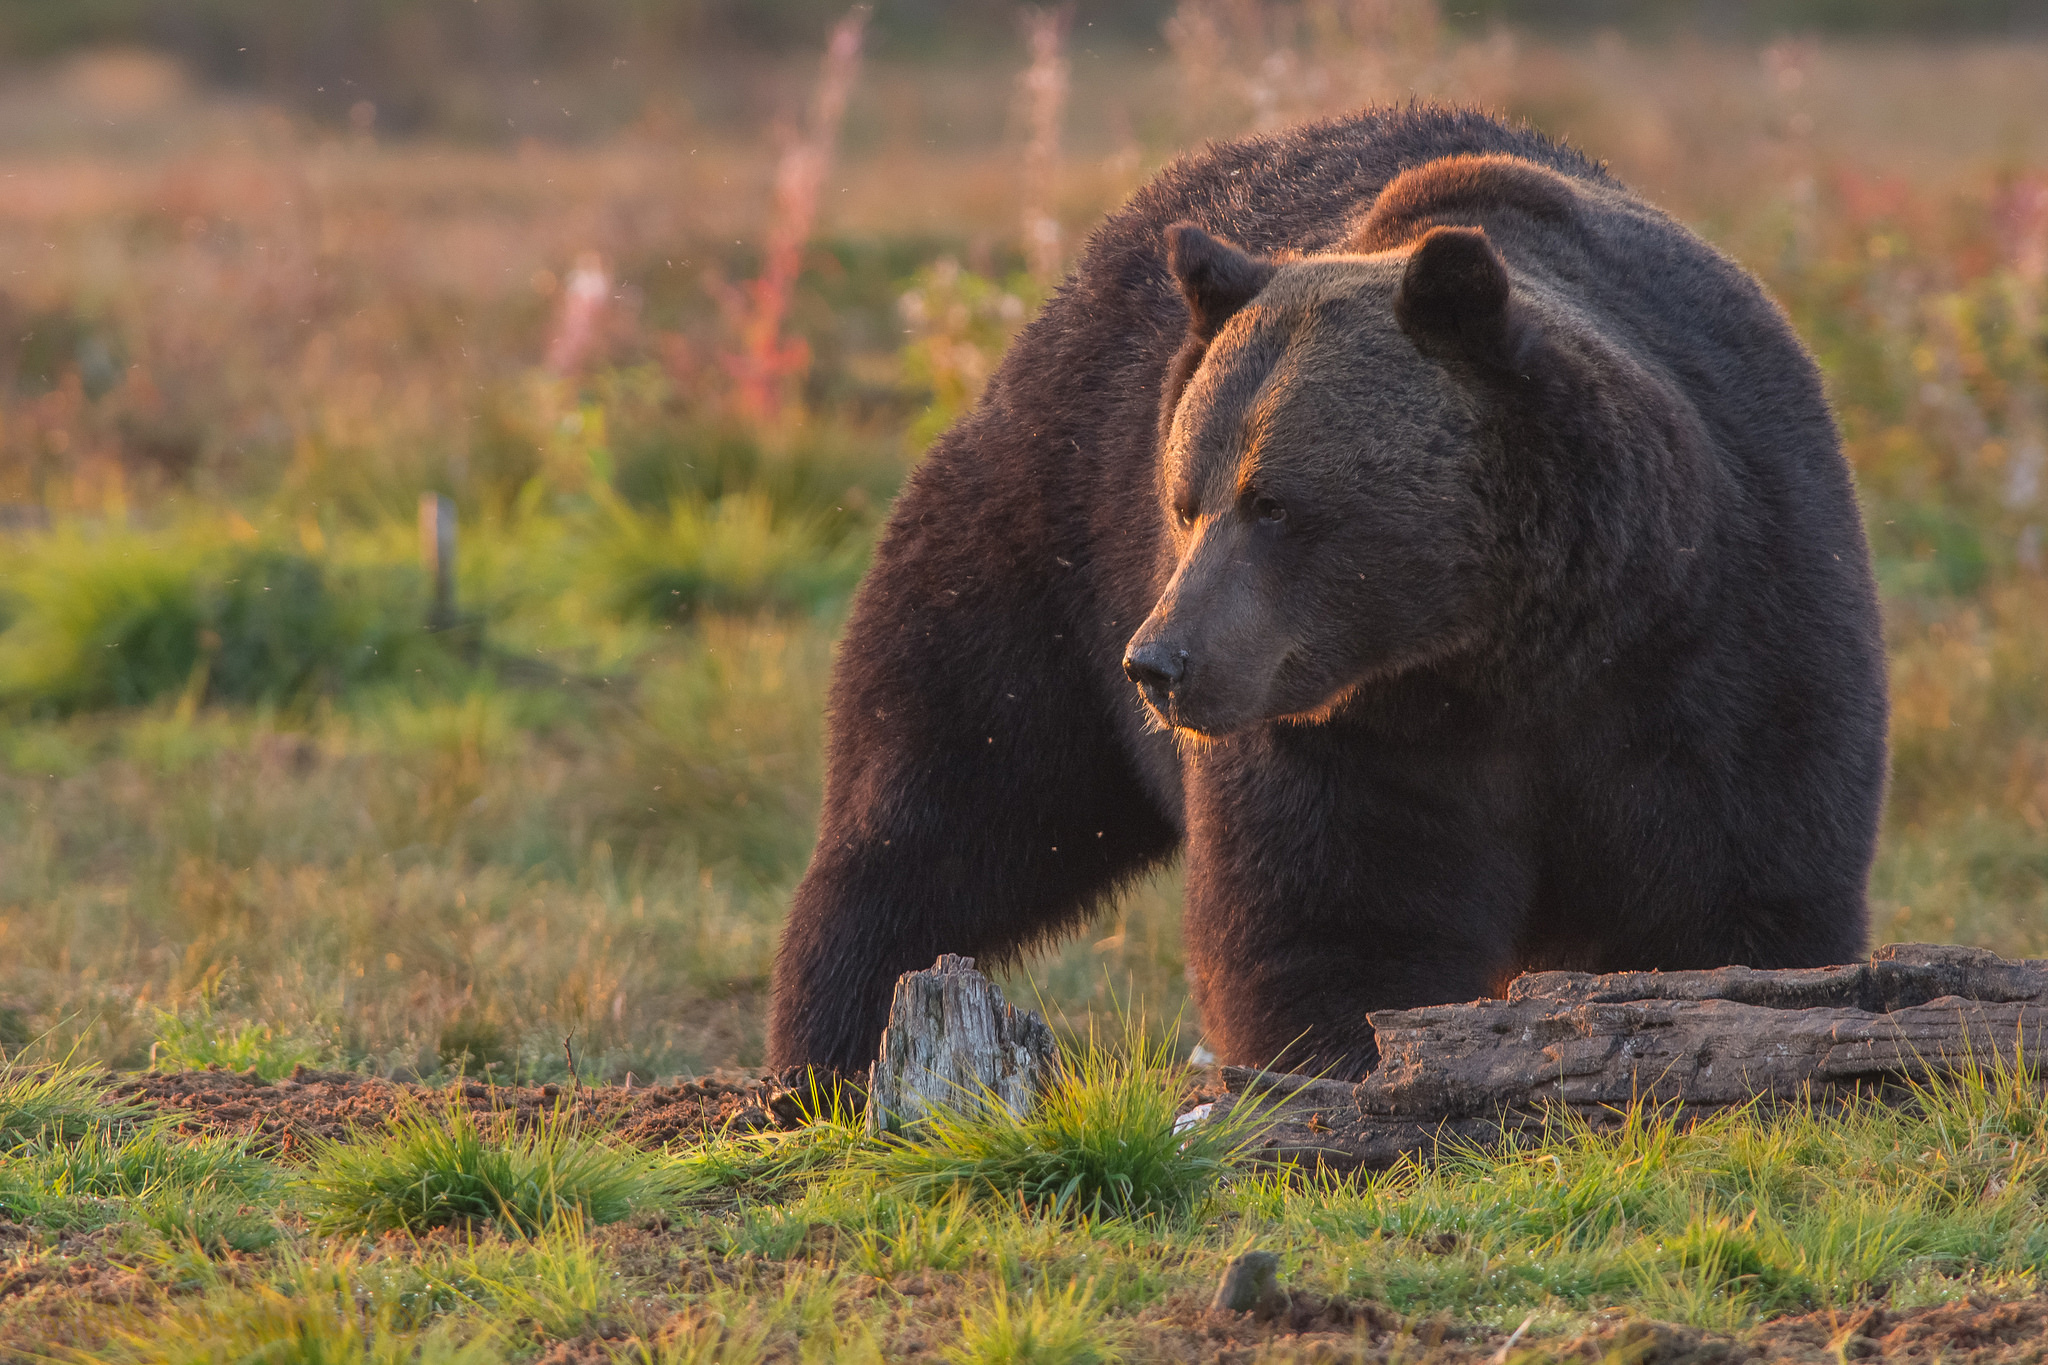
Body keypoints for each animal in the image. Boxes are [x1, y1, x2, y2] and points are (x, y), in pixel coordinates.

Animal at [765, 106, 1884, 1080]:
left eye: (1274, 503)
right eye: (1185, 500)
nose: (1159, 664)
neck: (1501, 654)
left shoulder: (1715, 646)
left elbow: (1731, 890)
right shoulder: (1347, 728)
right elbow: (1337, 916)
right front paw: (1346, 1058)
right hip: (1041, 544)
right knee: (942, 795)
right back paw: (825, 1050)